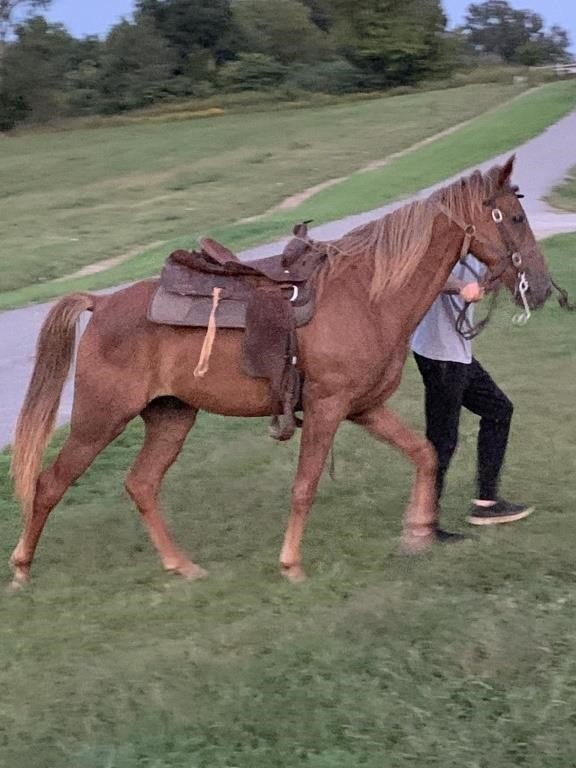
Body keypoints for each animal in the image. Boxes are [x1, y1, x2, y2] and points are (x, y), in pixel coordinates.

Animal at [9, 156, 552, 588]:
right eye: (515, 217)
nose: (544, 287)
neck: (368, 296)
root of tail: (100, 305)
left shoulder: (364, 408)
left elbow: (424, 453)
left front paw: (418, 533)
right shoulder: (328, 409)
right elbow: (305, 485)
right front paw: (291, 564)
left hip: (171, 417)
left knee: (141, 485)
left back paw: (181, 566)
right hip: (99, 419)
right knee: (50, 483)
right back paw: (21, 569)